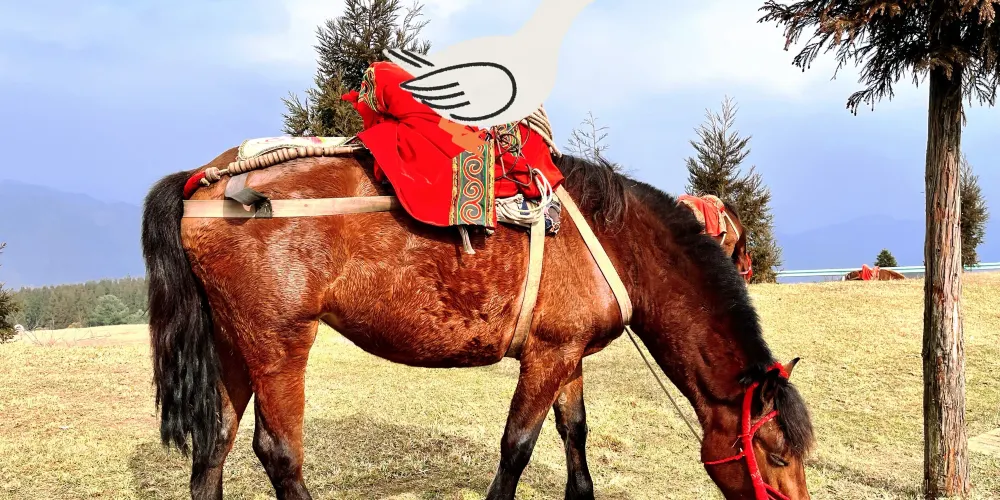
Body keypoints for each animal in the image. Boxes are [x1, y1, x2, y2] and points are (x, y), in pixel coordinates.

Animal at [141, 150, 815, 500]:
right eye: (775, 454)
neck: (617, 240)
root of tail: (206, 183)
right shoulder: (547, 357)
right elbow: (518, 446)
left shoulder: (565, 354)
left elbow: (574, 432)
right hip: (278, 341)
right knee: (278, 452)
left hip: (234, 344)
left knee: (213, 449)